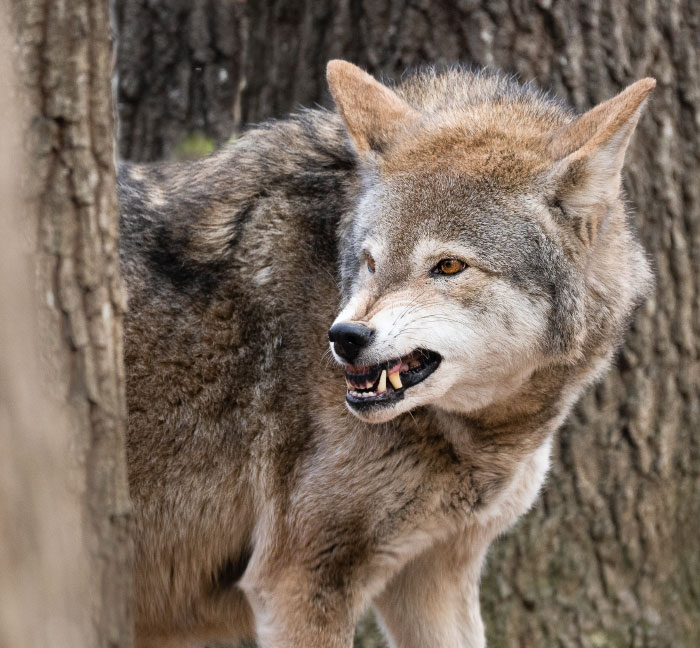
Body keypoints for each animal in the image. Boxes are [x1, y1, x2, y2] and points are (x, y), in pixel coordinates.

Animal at [119, 60, 654, 648]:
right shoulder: (299, 582)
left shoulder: (433, 579)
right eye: (371, 261)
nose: (344, 336)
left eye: (448, 266)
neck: (478, 435)